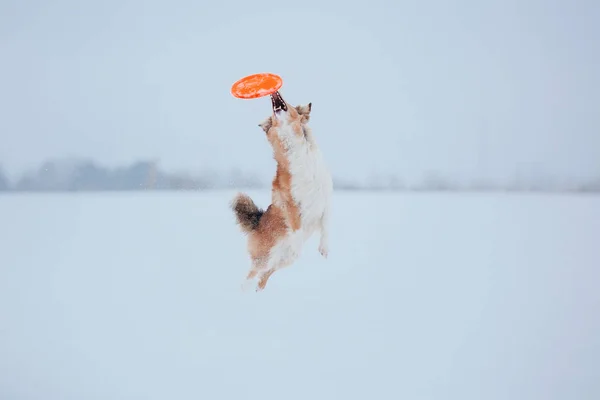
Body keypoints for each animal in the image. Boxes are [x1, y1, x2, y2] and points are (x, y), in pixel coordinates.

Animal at [230, 91, 332, 290]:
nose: (274, 92)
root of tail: (257, 223)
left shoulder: (325, 198)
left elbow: (326, 224)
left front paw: (324, 249)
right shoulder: (291, 204)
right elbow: (297, 228)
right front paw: (300, 245)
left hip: (281, 262)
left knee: (263, 277)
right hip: (264, 258)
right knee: (251, 275)